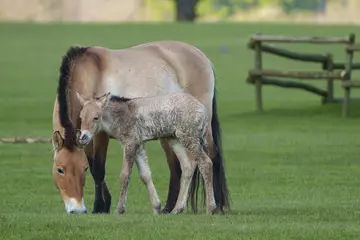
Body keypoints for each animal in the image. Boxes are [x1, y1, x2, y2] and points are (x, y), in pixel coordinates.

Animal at [76, 91, 217, 214]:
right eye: (81, 117)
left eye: (96, 117)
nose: (83, 137)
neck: (122, 115)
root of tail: (203, 109)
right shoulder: (139, 145)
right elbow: (145, 175)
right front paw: (156, 208)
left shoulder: (130, 143)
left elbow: (125, 175)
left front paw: (119, 210)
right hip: (175, 140)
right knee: (188, 166)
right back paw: (177, 209)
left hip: (189, 138)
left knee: (206, 163)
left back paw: (211, 208)